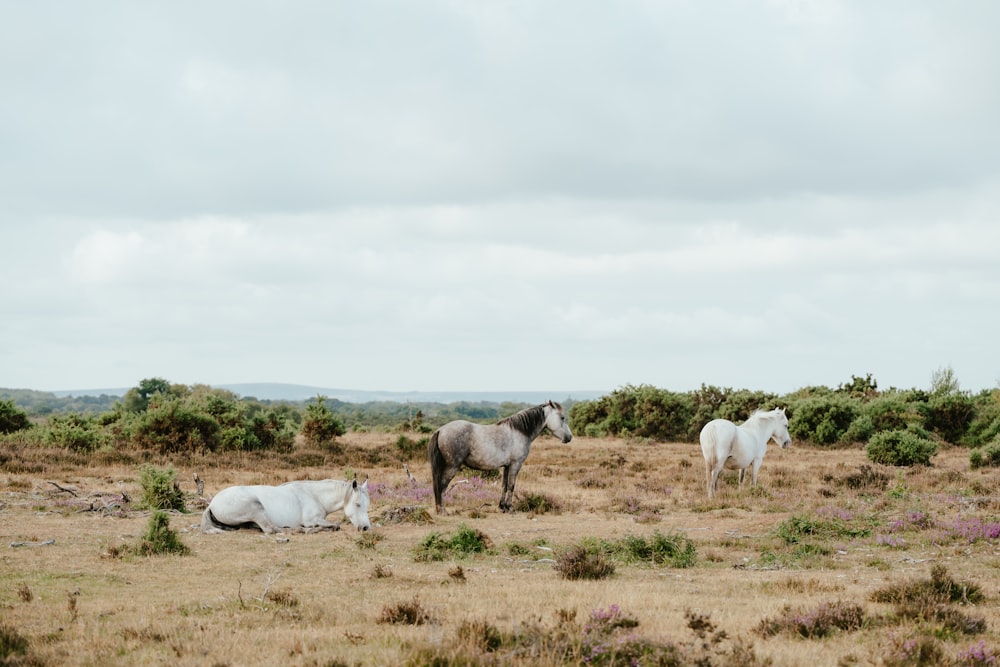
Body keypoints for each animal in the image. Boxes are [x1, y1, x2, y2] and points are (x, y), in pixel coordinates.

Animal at [200, 478, 372, 536]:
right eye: (357, 504)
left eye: (367, 505)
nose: (365, 528)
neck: (315, 495)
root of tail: (212, 503)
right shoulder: (312, 520)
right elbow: (335, 525)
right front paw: (315, 528)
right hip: (256, 508)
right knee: (270, 529)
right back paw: (300, 530)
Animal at [428, 402, 576, 516]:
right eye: (562, 417)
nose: (569, 437)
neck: (519, 432)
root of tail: (441, 430)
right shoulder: (516, 464)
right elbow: (511, 485)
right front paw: (510, 508)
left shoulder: (507, 466)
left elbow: (504, 485)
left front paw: (502, 506)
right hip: (452, 467)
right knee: (442, 486)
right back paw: (443, 511)